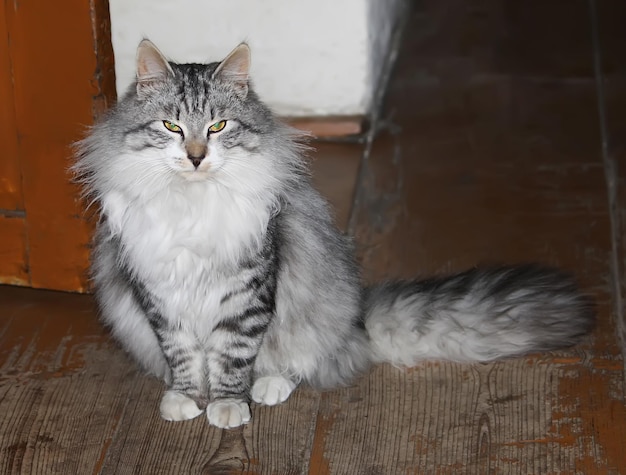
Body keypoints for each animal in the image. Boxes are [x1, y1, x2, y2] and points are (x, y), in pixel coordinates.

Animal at [72, 39, 588, 430]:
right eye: (171, 126)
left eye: (218, 126)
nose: (197, 157)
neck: (191, 202)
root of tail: (360, 320)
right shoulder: (160, 294)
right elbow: (182, 354)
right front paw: (185, 396)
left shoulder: (247, 292)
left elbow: (233, 355)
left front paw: (228, 405)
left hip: (316, 313)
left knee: (305, 360)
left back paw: (270, 385)